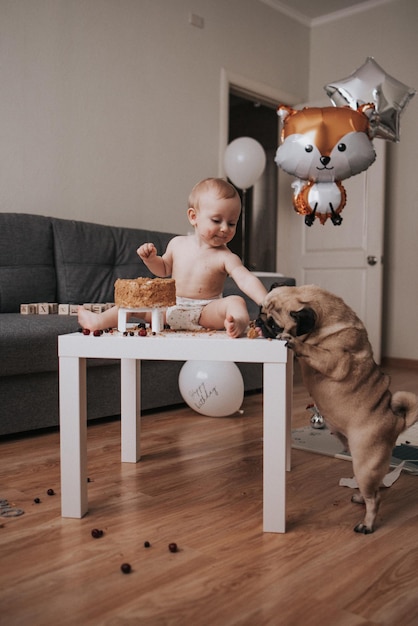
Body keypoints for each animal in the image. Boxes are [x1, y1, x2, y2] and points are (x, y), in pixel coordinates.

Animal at [258, 282, 418, 532]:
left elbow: (311, 350)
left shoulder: (335, 361)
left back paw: (367, 524)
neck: (324, 324)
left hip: (365, 463)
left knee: (375, 498)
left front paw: (294, 342)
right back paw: (360, 497)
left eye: (274, 324)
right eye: (260, 309)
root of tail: (397, 421)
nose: (259, 321)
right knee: (374, 488)